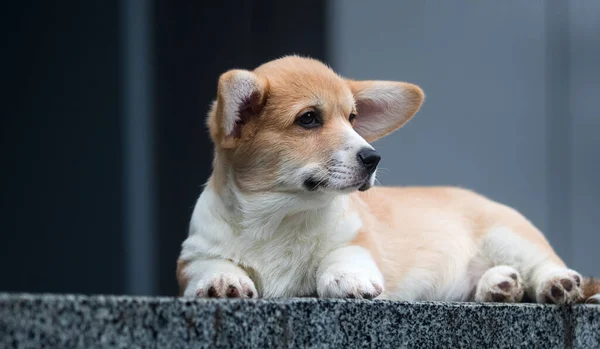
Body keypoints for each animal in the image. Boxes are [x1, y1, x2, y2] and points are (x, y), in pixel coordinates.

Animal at [176, 55, 596, 304]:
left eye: (353, 118)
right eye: (308, 119)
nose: (373, 157)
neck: (278, 217)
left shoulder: (356, 242)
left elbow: (341, 255)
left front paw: (346, 279)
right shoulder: (193, 255)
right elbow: (211, 265)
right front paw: (222, 281)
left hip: (507, 234)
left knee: (546, 263)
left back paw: (554, 284)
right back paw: (499, 286)